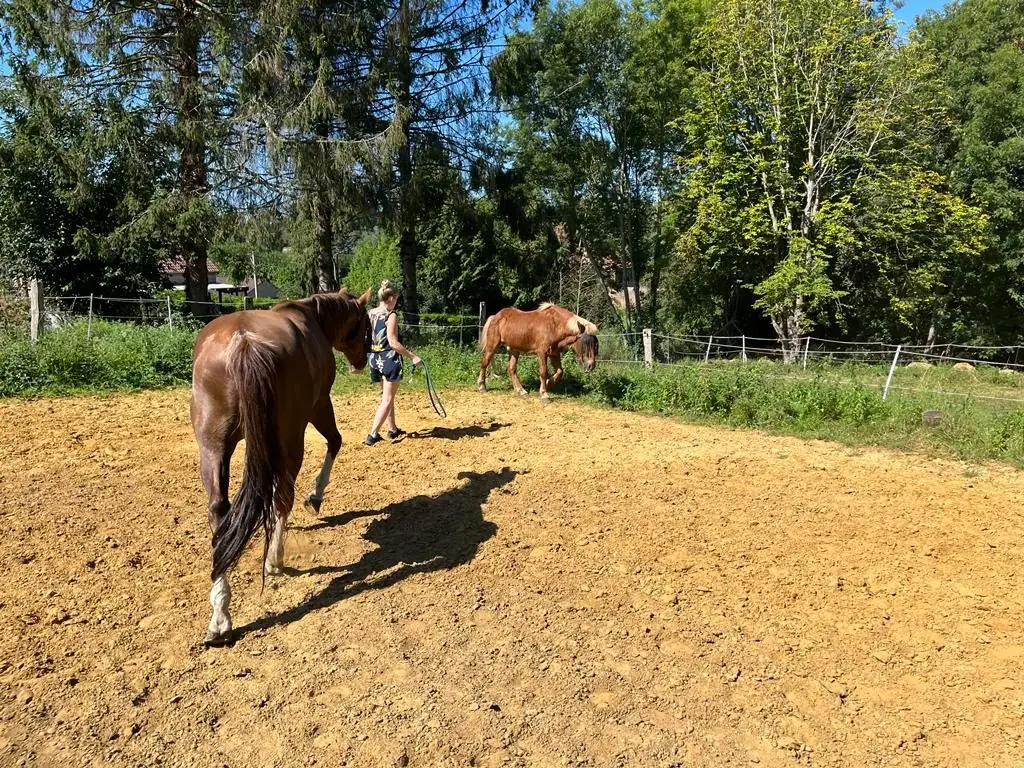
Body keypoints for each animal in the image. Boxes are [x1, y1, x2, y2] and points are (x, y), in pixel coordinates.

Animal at [189, 287, 373, 647]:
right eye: (367, 325)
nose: (364, 361)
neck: (313, 317)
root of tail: (244, 341)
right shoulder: (319, 406)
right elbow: (335, 442)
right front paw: (315, 497)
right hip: (292, 434)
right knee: (283, 493)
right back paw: (275, 558)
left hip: (213, 447)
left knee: (220, 510)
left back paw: (220, 615)